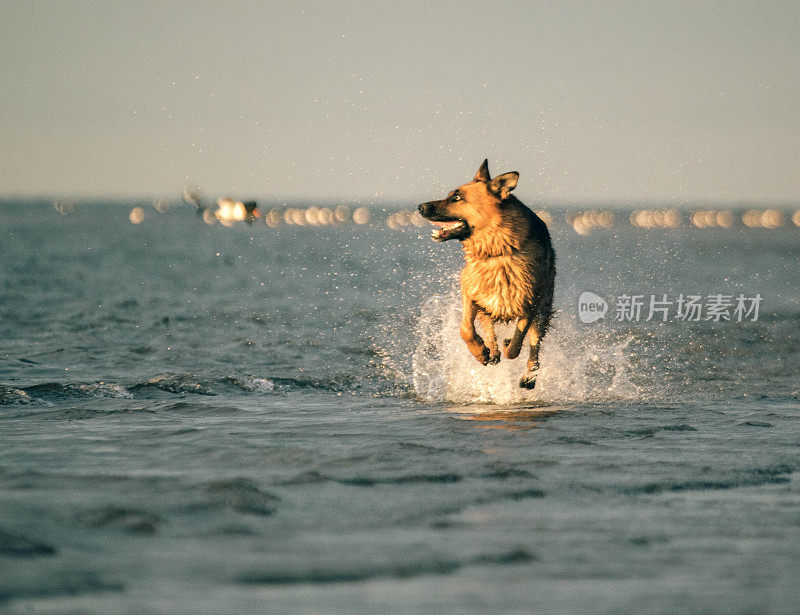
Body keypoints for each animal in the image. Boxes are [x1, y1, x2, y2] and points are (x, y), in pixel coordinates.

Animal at [418, 160, 556, 390]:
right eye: (450, 195)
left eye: (457, 198)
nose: (420, 207)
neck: (497, 251)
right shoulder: (471, 292)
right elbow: (465, 329)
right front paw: (481, 352)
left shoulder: (529, 303)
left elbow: (518, 342)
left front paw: (508, 346)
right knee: (489, 328)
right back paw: (491, 350)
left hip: (543, 308)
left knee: (534, 345)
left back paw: (528, 375)